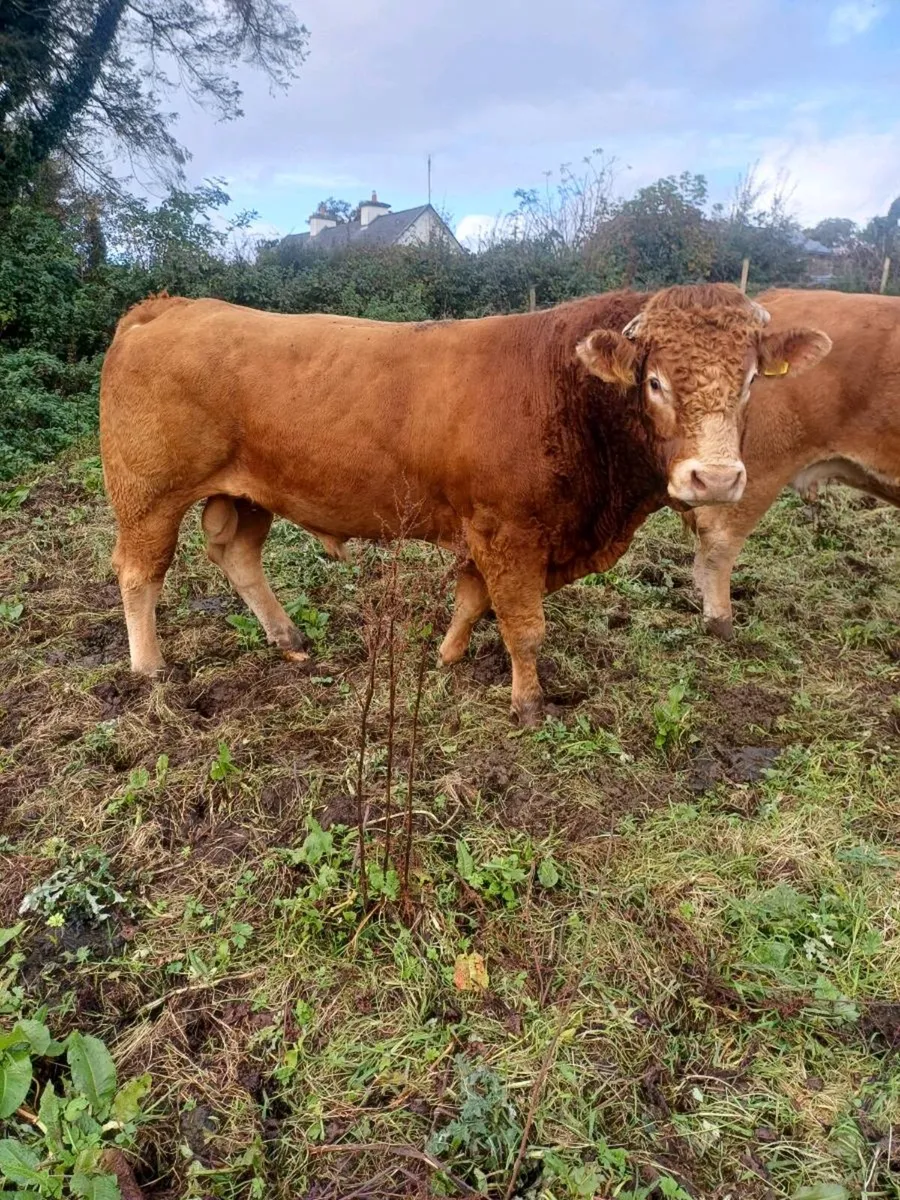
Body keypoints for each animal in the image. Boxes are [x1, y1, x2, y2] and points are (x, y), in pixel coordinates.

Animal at [99, 284, 830, 724]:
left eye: (751, 381)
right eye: (654, 382)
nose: (716, 479)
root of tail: (169, 305)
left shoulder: (495, 532)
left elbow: (474, 599)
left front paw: (447, 657)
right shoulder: (510, 531)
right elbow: (523, 624)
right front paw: (528, 702)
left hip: (247, 491)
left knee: (237, 553)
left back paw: (289, 639)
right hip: (148, 494)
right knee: (139, 572)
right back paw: (150, 669)